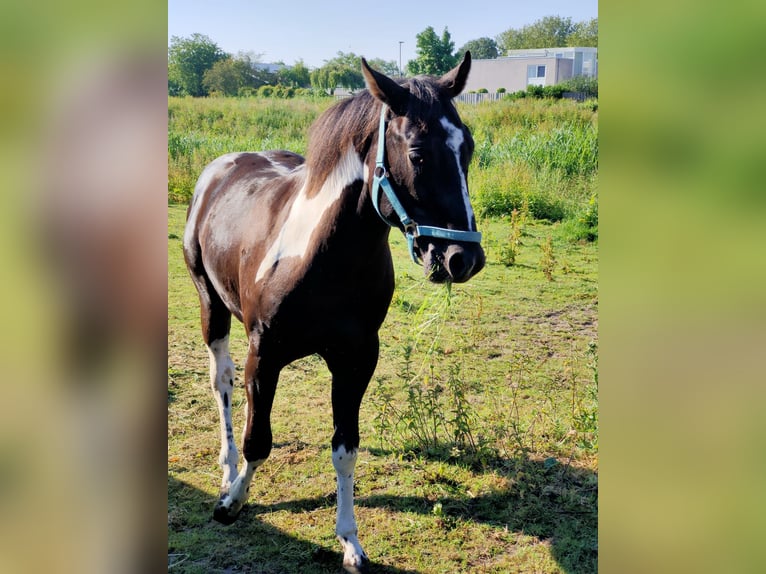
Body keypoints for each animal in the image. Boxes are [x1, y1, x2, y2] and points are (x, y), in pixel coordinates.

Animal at [183, 53, 486, 572]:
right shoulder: (263, 354)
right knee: (221, 381)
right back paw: (225, 467)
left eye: (465, 149)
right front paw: (232, 502)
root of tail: (220, 168)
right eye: (418, 154)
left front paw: (350, 542)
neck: (324, 257)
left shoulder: (356, 359)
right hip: (212, 305)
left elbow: (345, 449)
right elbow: (257, 440)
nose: (462, 259)